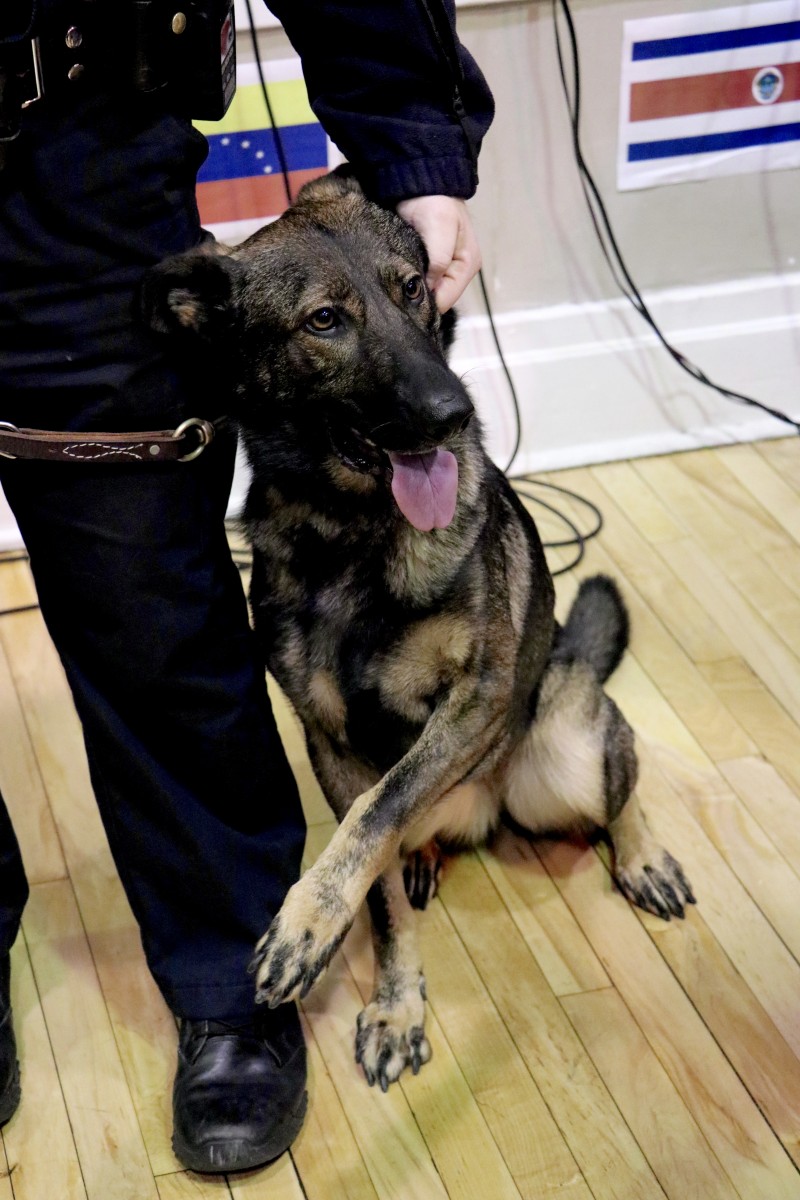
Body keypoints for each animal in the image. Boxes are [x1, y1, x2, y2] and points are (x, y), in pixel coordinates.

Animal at [143, 171, 695, 1099]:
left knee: (619, 783)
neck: (355, 535)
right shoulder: (330, 741)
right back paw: (425, 856)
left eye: (411, 288)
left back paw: (642, 852)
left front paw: (307, 920)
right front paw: (393, 1000)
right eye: (324, 321)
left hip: (567, 743)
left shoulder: (478, 700)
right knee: (417, 832)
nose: (453, 411)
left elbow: (380, 807)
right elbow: (378, 870)